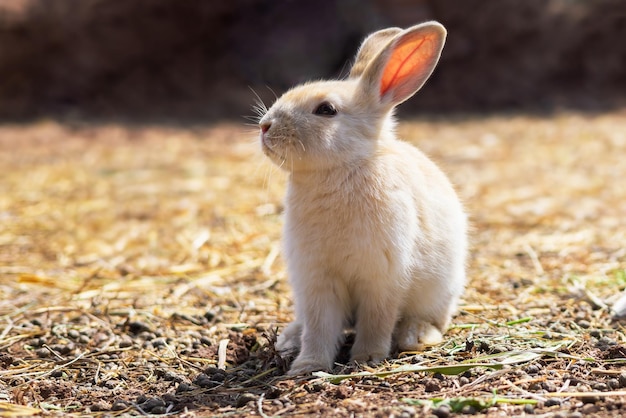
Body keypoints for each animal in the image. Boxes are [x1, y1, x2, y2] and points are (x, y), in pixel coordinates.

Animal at [256, 22, 466, 376]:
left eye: (326, 110)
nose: (265, 126)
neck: (340, 170)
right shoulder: (317, 281)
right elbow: (320, 328)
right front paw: (307, 367)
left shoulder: (382, 278)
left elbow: (376, 321)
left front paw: (366, 358)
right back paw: (289, 340)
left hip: (441, 291)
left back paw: (416, 336)